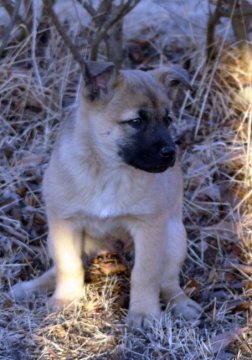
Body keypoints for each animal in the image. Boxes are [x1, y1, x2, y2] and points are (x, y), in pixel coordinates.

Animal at [10, 61, 202, 326]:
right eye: (136, 122)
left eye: (168, 119)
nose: (170, 154)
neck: (108, 171)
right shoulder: (65, 223)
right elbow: (68, 265)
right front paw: (66, 300)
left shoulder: (150, 227)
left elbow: (145, 274)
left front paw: (144, 313)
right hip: (59, 237)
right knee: (58, 267)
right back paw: (30, 288)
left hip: (174, 235)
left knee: (168, 281)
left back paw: (181, 304)